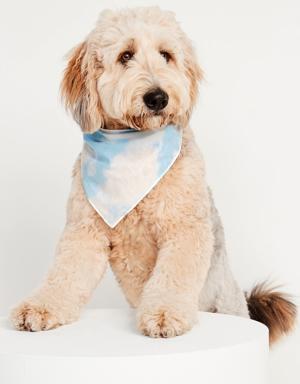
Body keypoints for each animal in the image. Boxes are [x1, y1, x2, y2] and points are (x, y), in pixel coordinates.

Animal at [10, 6, 296, 342]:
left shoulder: (185, 228)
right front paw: (39, 308)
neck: (134, 146)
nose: (158, 98)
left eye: (166, 55)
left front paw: (163, 314)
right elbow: (65, 273)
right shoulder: (84, 232)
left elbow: (173, 277)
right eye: (125, 55)